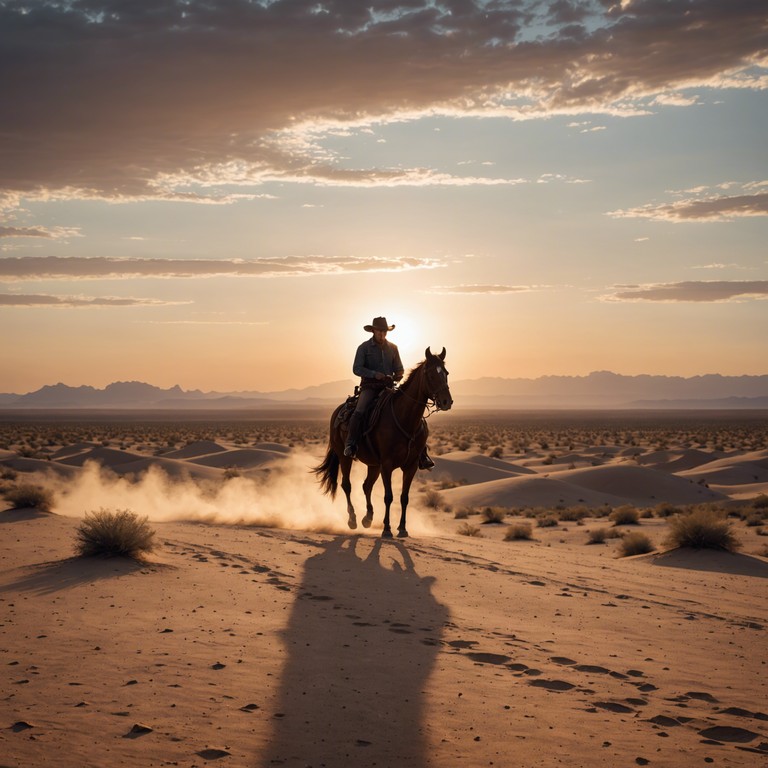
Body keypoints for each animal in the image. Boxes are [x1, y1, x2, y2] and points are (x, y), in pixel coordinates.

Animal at [316, 348, 452, 540]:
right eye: (431, 374)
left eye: (446, 373)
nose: (447, 401)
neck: (405, 419)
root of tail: (338, 411)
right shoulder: (387, 465)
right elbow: (389, 496)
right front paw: (387, 529)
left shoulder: (410, 466)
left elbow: (404, 497)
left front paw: (402, 528)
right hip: (345, 456)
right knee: (347, 485)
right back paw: (353, 519)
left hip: (373, 464)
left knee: (366, 486)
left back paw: (368, 518)